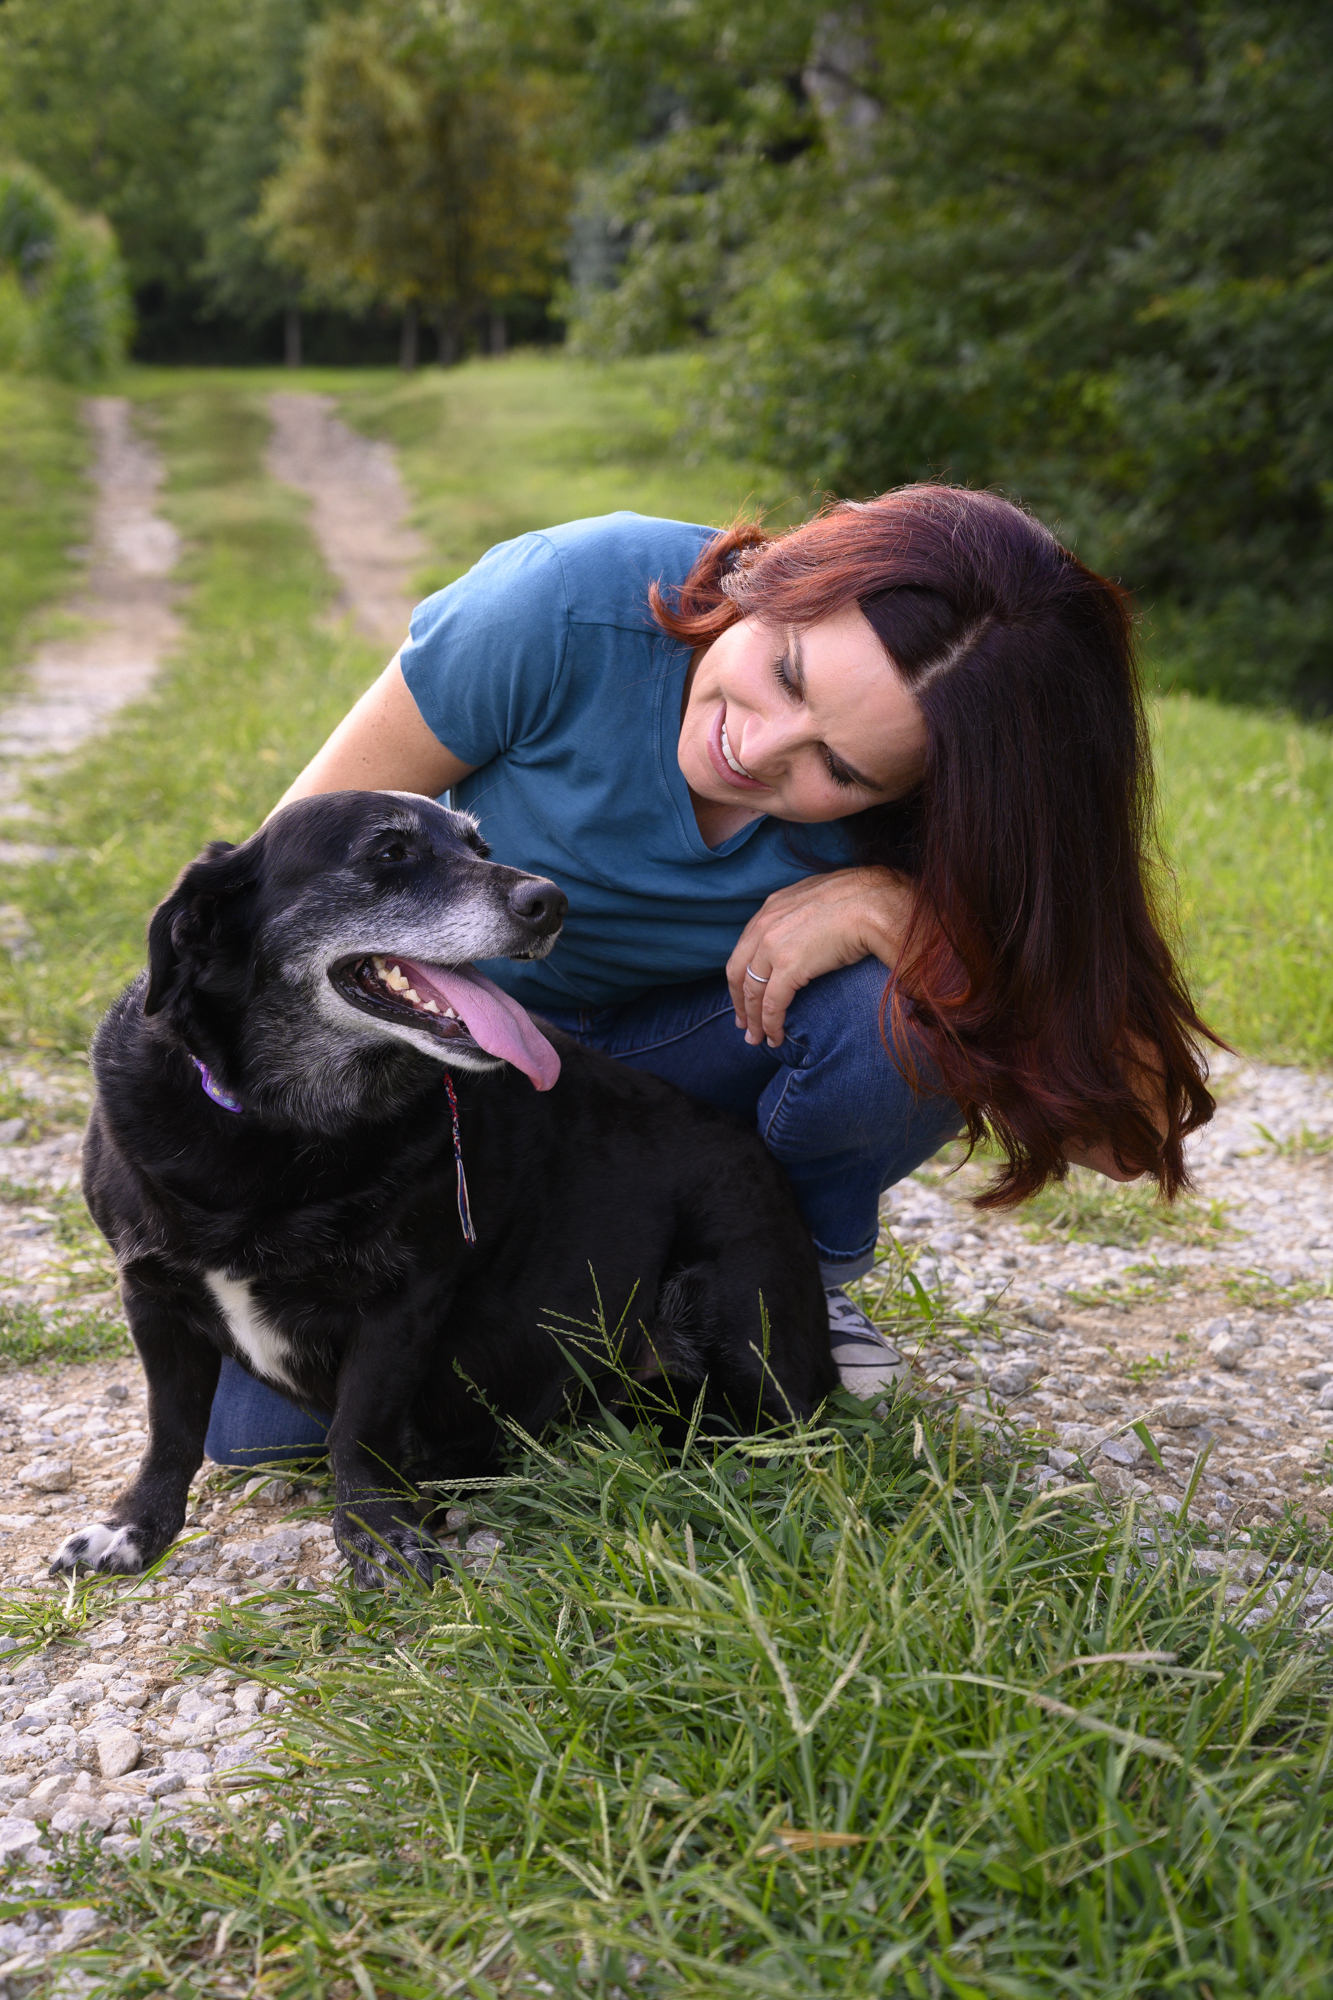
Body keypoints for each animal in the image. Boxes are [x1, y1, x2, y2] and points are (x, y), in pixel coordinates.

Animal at [50, 790, 835, 1585]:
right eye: (389, 852)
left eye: (479, 848)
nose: (551, 902)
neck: (283, 1126)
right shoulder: (152, 1291)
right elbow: (171, 1426)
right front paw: (134, 1527)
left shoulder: (401, 1301)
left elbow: (357, 1427)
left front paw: (376, 1534)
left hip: (736, 1317)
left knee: (794, 1438)